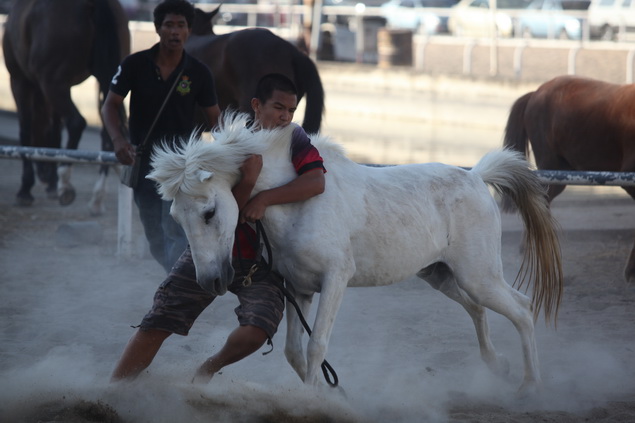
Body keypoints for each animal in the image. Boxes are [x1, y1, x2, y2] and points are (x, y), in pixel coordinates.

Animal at [3, 0, 130, 215]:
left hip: (52, 82)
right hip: (108, 76)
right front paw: (51, 183)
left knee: (76, 122)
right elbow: (55, 130)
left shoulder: (19, 81)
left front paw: (26, 189)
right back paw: (97, 197)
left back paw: (65, 182)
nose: (44, 173)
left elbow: (26, 130)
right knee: (110, 129)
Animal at [148, 112, 560, 394]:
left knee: (522, 309)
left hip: (479, 275)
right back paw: (499, 367)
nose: (212, 281)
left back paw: (531, 385)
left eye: (209, 212)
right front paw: (329, 394)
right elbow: (294, 352)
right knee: (476, 309)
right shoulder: (298, 289)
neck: (297, 204)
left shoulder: (335, 279)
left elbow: (316, 346)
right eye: (175, 217)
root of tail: (476, 177)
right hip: (441, 275)